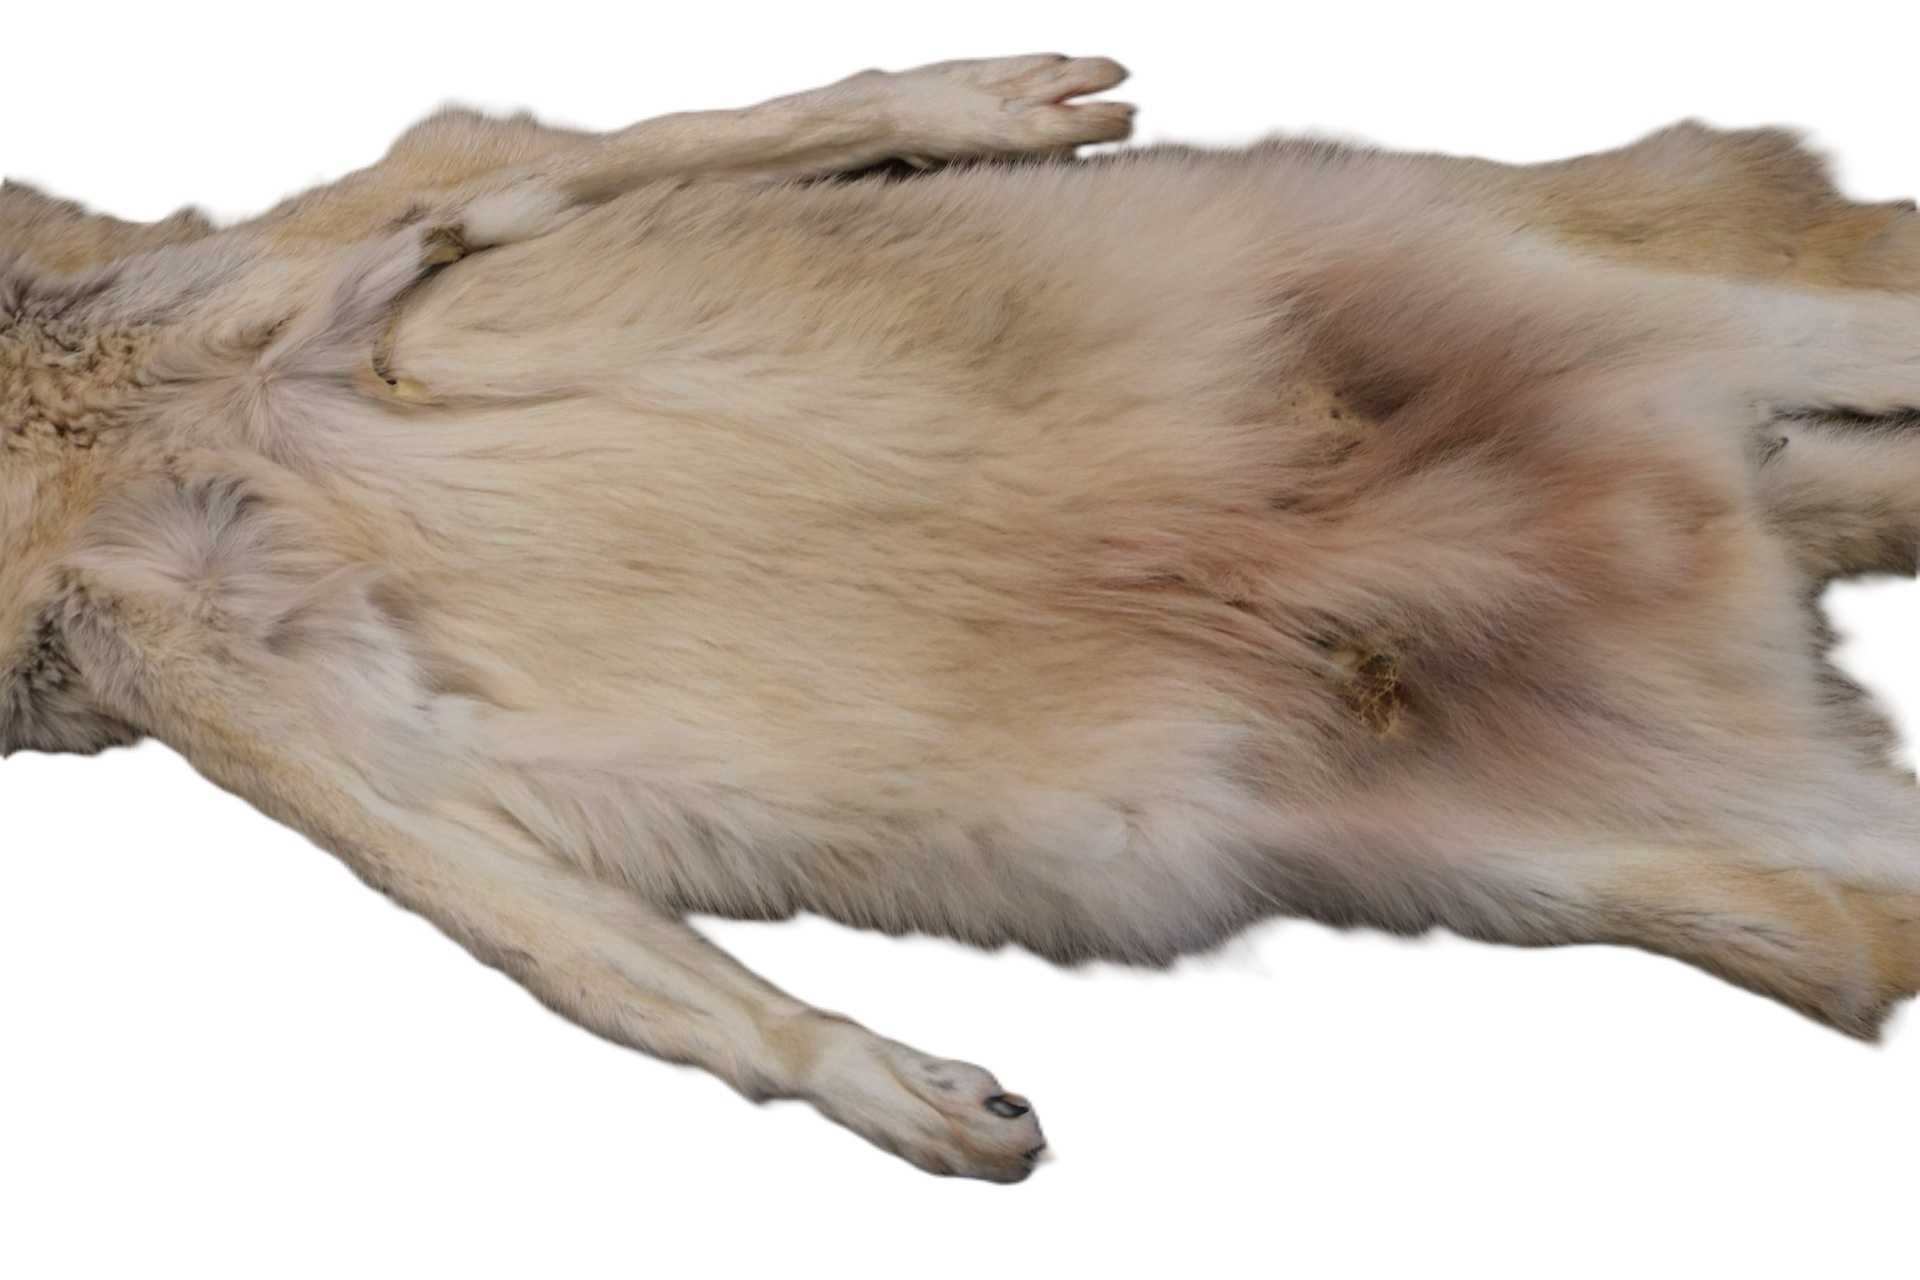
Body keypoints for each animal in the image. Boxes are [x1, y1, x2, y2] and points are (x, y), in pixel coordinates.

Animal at [6, 53, 1920, 1181]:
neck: (81, 446)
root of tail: (1705, 496)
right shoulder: (218, 694)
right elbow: (592, 952)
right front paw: (904, 1090)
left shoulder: (339, 238)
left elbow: (650, 148)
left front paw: (982, 103)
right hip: (1608, 857)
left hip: (1512, 268)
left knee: (1811, 307)